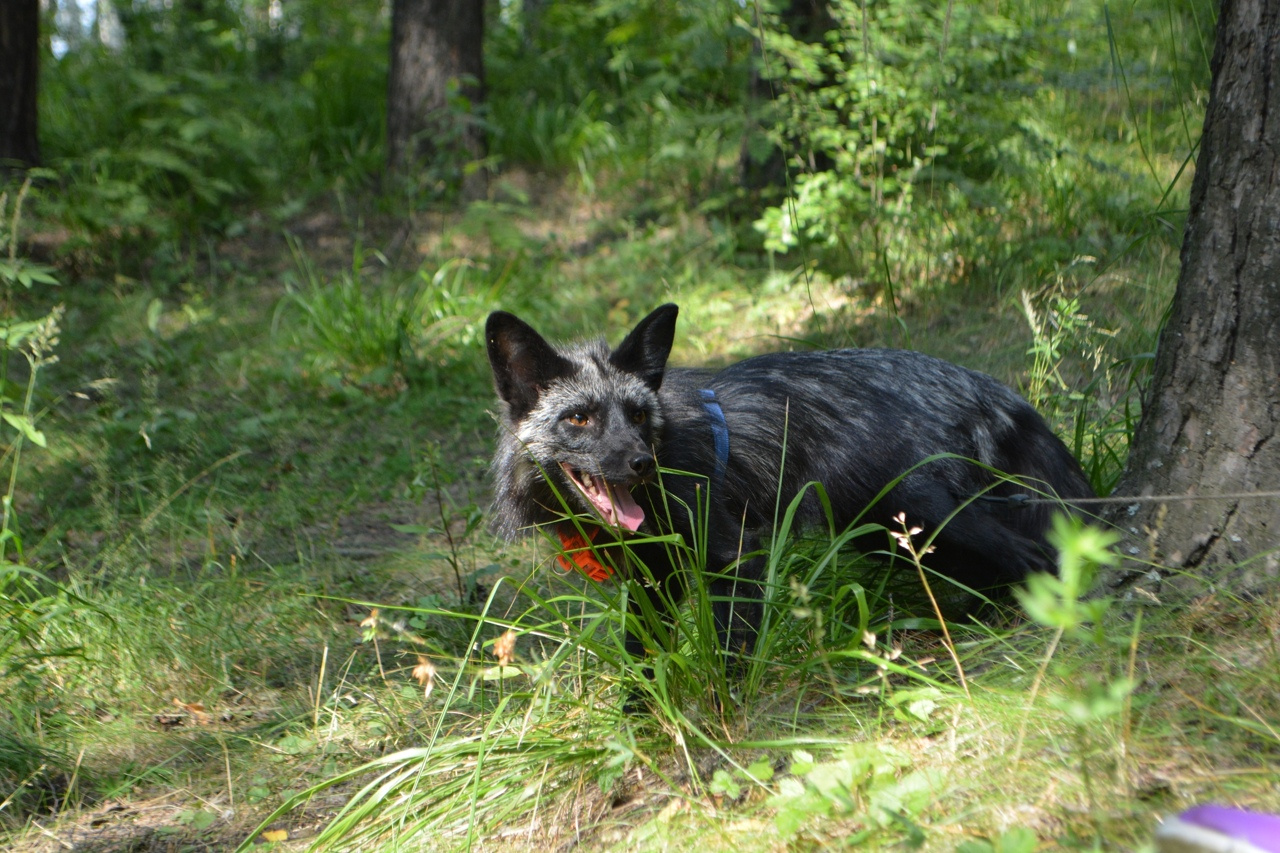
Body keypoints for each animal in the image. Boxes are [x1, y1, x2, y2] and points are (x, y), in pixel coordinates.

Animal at [483, 306, 1095, 666]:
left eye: (637, 414)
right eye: (579, 419)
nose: (639, 463)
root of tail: (977, 380)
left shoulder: (734, 557)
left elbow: (729, 656)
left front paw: (719, 727)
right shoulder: (654, 581)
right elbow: (642, 659)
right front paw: (643, 726)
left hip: (921, 513)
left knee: (1031, 549)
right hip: (888, 534)